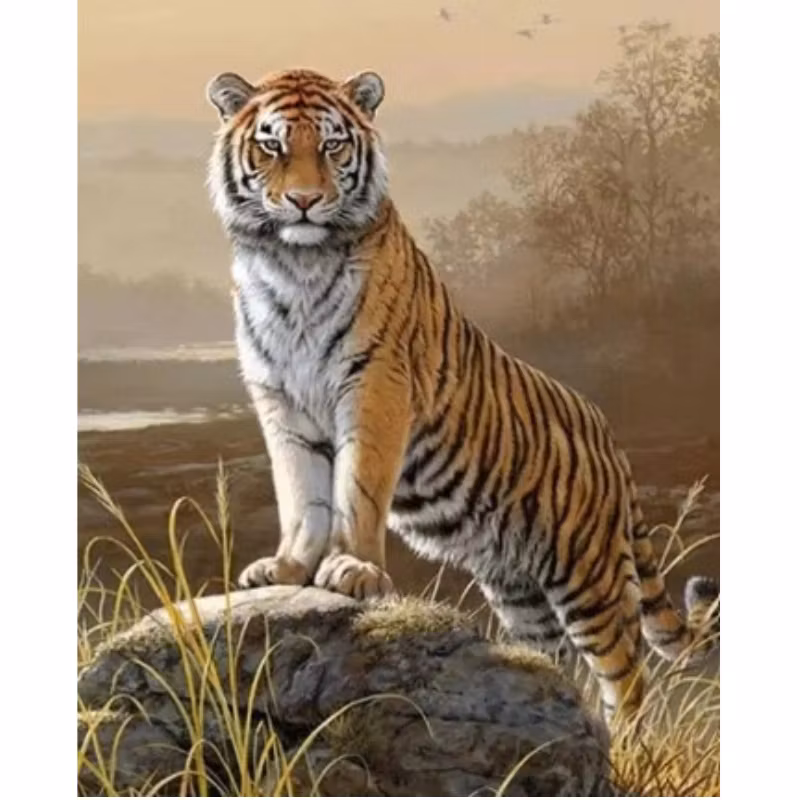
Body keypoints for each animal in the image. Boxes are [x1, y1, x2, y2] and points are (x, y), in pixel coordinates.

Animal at [205, 67, 719, 723]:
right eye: (271, 145)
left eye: (332, 145)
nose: (303, 200)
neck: (294, 264)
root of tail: (609, 436)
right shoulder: (280, 400)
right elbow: (301, 493)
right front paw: (289, 568)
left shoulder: (376, 385)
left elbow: (356, 488)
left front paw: (351, 568)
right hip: (519, 588)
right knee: (552, 660)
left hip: (589, 576)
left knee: (625, 675)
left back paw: (623, 739)